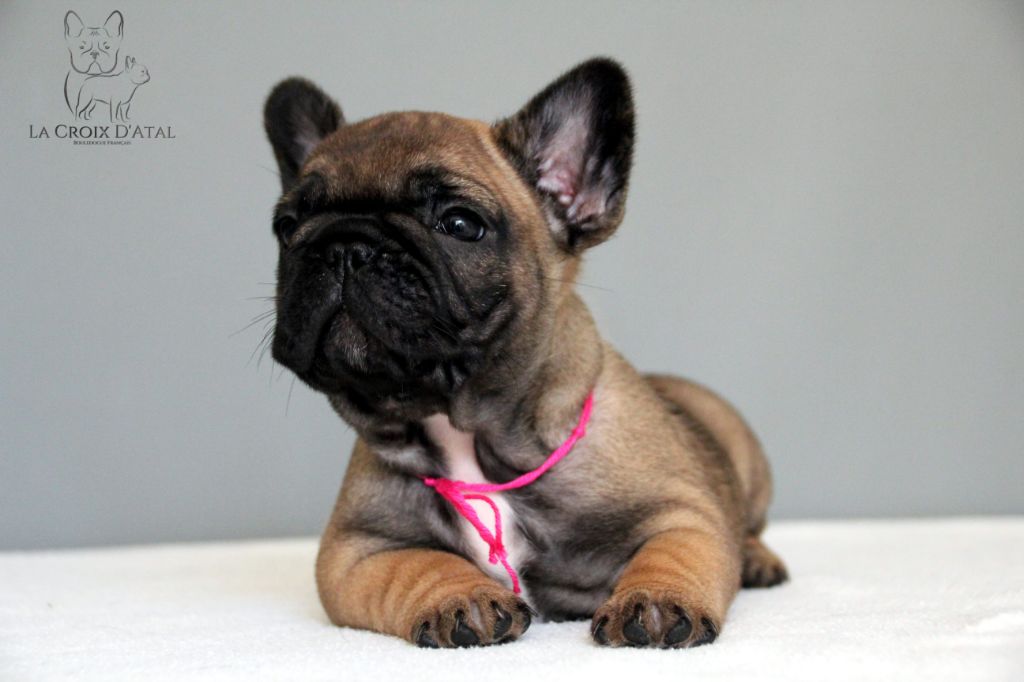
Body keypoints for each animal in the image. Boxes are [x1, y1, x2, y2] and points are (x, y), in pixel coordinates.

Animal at [262, 58, 787, 649]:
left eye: (460, 224)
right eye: (286, 228)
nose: (344, 246)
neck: (466, 435)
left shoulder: (681, 512)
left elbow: (673, 552)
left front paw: (654, 599)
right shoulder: (355, 551)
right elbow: (418, 564)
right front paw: (461, 597)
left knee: (749, 525)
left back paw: (757, 559)